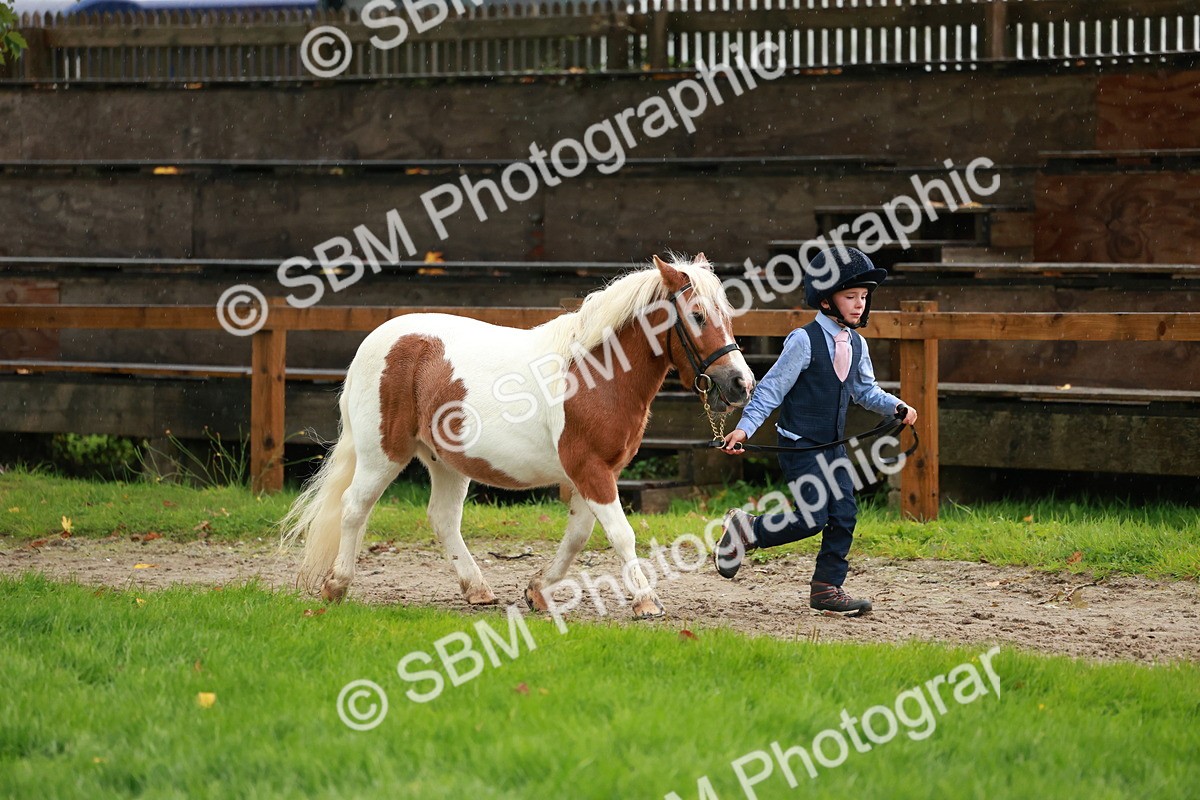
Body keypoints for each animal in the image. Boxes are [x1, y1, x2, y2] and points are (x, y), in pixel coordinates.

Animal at [280, 253, 755, 619]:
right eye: (697, 316)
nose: (741, 384)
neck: (597, 373)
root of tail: (375, 341)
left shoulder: (594, 473)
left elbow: (578, 536)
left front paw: (537, 591)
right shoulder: (591, 470)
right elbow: (621, 534)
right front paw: (646, 602)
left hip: (444, 461)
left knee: (443, 518)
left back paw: (477, 590)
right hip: (383, 454)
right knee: (354, 508)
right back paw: (337, 586)